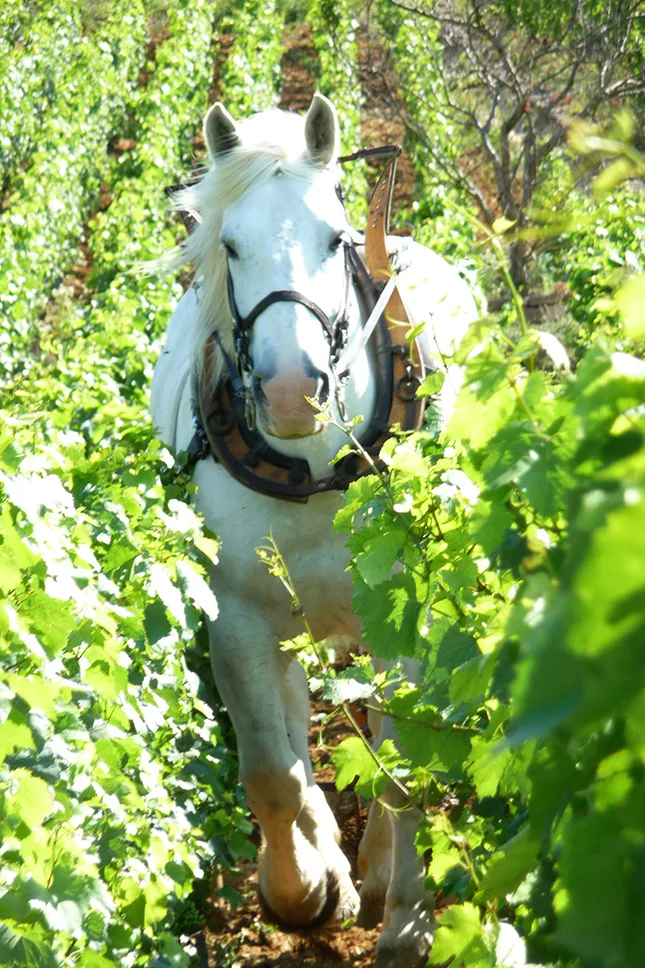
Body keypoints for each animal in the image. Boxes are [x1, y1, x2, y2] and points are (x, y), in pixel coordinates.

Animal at [151, 93, 477, 968]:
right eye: (228, 243)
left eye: (333, 238)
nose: (292, 390)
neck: (313, 465)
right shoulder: (237, 615)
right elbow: (273, 771)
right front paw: (302, 893)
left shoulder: (409, 616)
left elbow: (405, 769)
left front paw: (406, 922)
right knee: (300, 732)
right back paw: (331, 856)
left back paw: (376, 870)